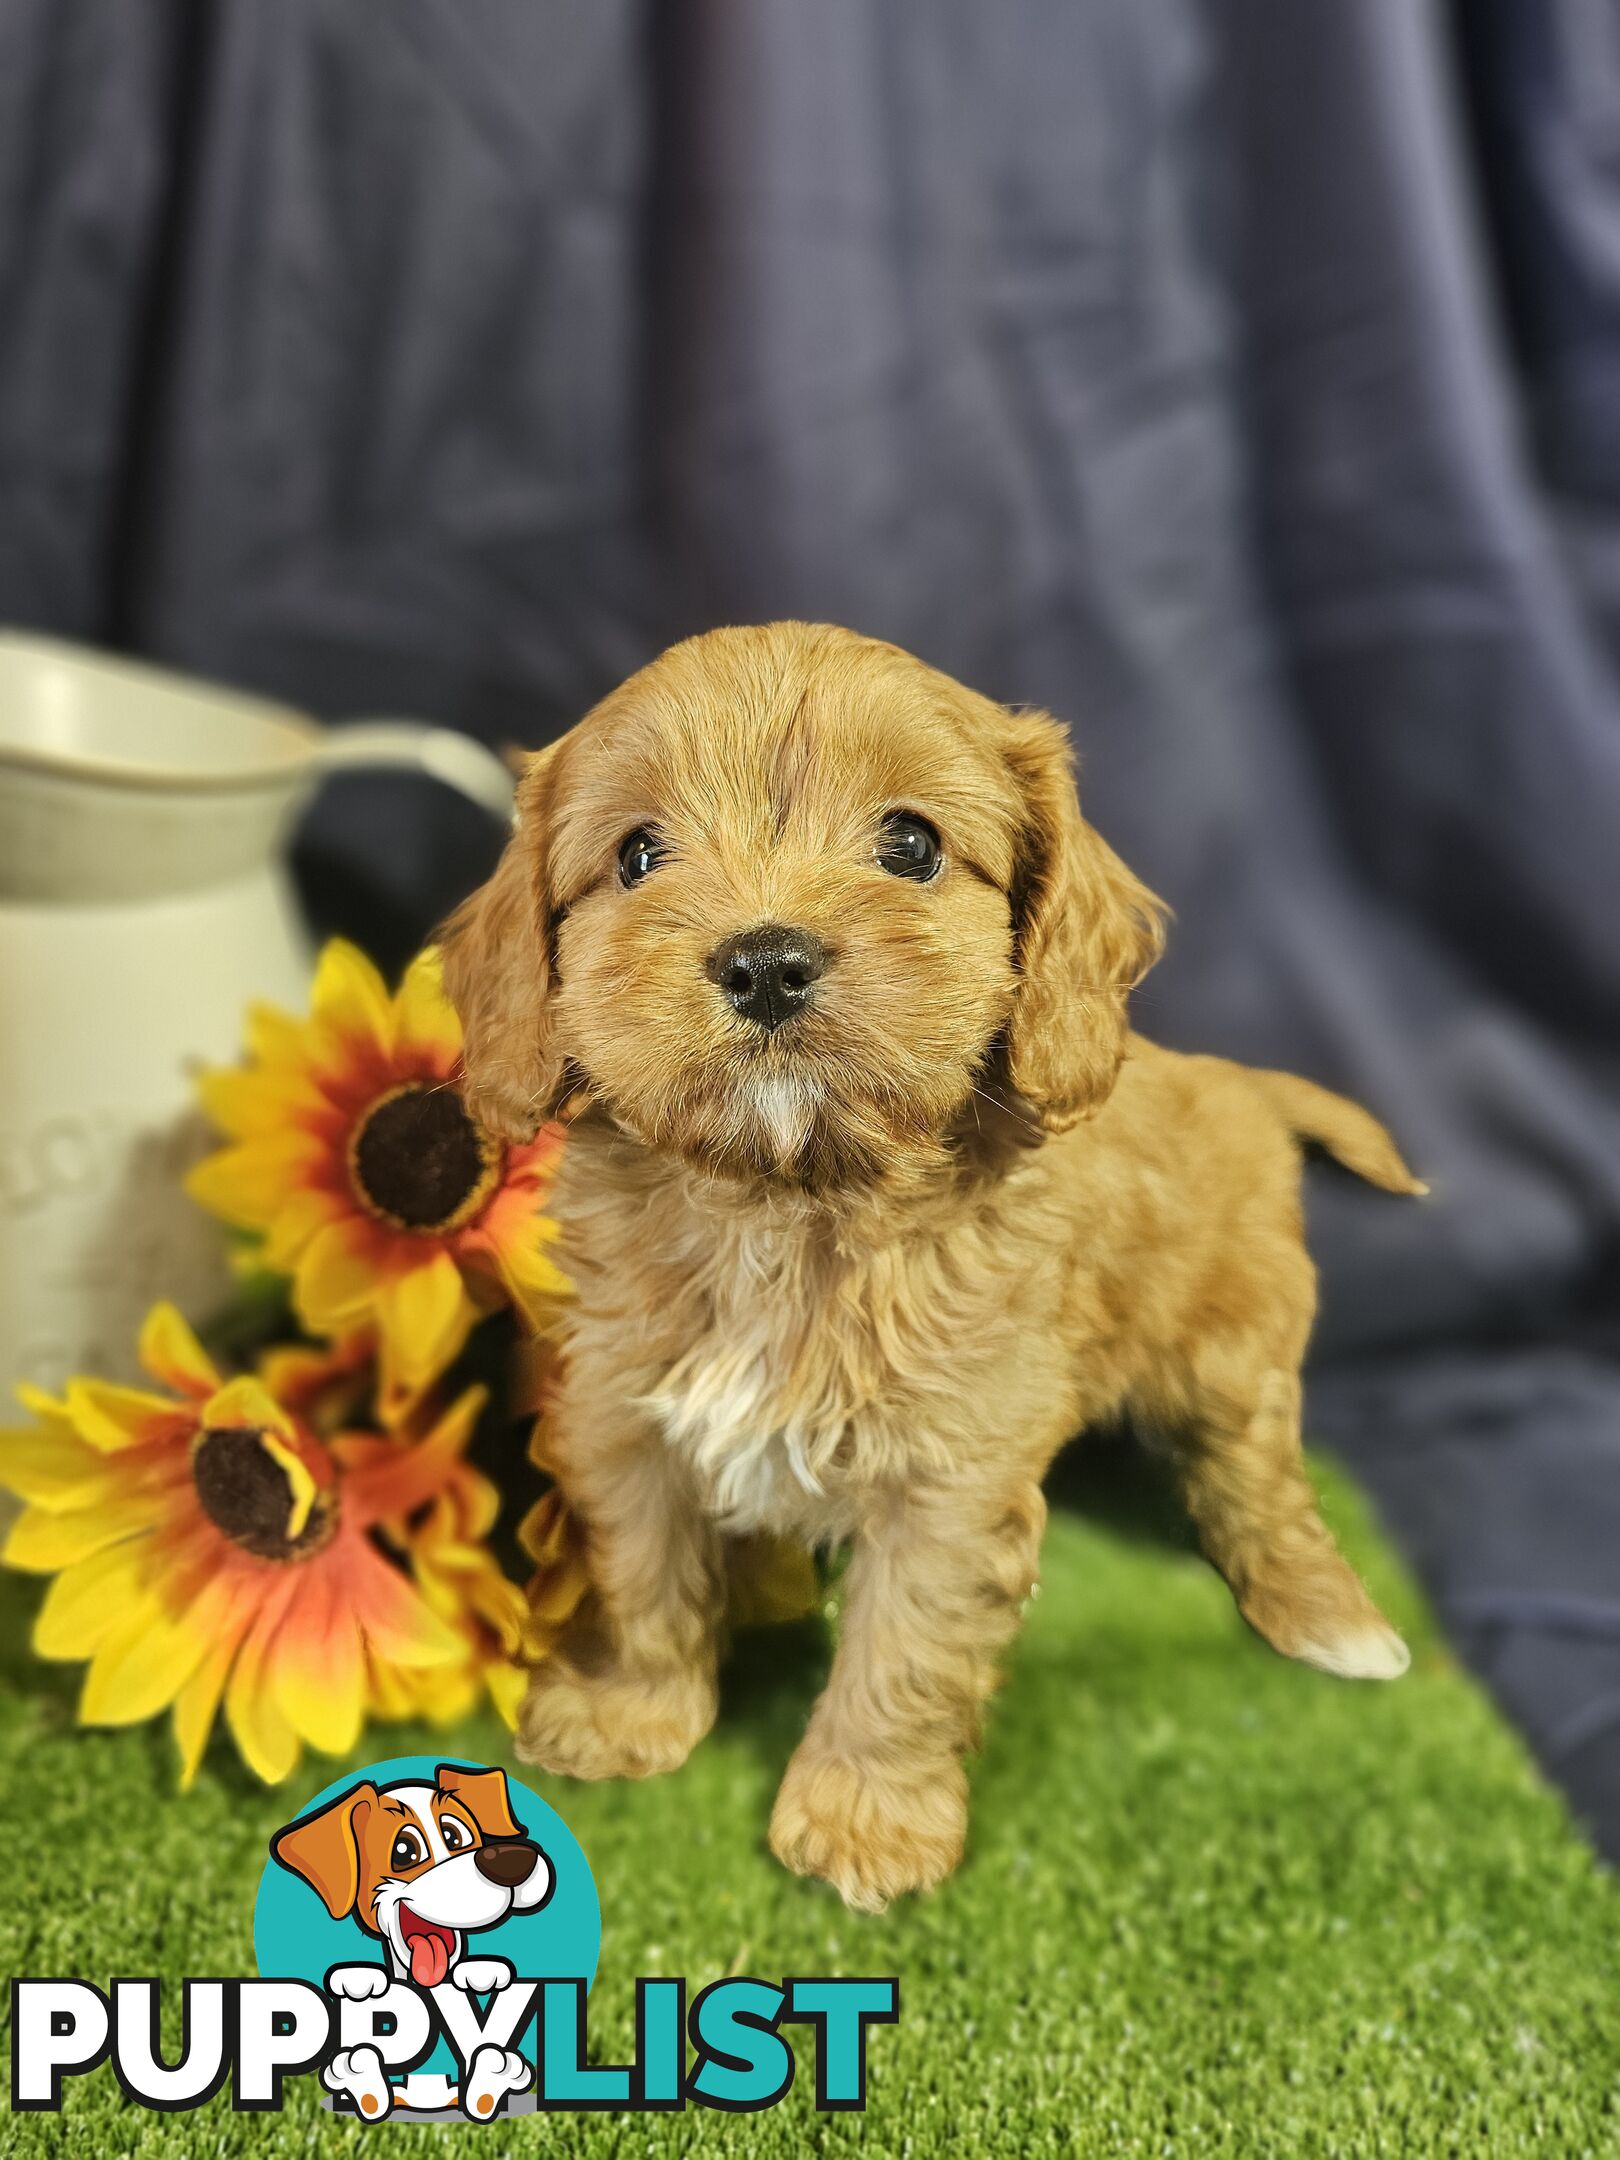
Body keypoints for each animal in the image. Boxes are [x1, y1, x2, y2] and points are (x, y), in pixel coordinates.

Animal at [438, 622, 1425, 1909]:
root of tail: (1238, 1084)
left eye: (909, 844)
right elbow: (644, 1574)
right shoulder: (626, 1417)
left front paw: (864, 1817)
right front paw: (632, 1712)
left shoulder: (951, 1480)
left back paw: (1325, 1618)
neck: (789, 1206)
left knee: (1262, 1489)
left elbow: (904, 1649)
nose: (765, 960)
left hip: (1234, 1361)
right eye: (639, 855)